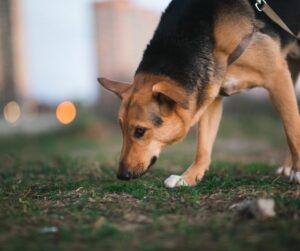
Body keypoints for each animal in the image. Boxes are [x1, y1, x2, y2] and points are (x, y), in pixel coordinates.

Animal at [98, 0, 300, 187]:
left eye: (140, 131)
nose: (121, 175)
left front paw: (297, 172)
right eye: (121, 128)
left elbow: (292, 129)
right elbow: (203, 146)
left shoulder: (277, 76)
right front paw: (187, 178)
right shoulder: (211, 95)